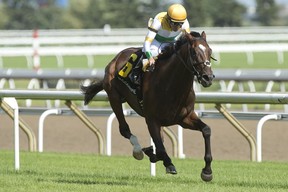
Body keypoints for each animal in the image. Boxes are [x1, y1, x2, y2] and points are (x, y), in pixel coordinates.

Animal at [80, 31, 214, 182]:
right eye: (194, 52)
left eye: (210, 51)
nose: (208, 77)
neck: (171, 84)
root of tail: (117, 57)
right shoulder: (151, 119)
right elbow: (160, 149)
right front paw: (167, 162)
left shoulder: (184, 118)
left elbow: (206, 130)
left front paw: (207, 171)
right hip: (114, 97)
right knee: (124, 129)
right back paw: (138, 150)